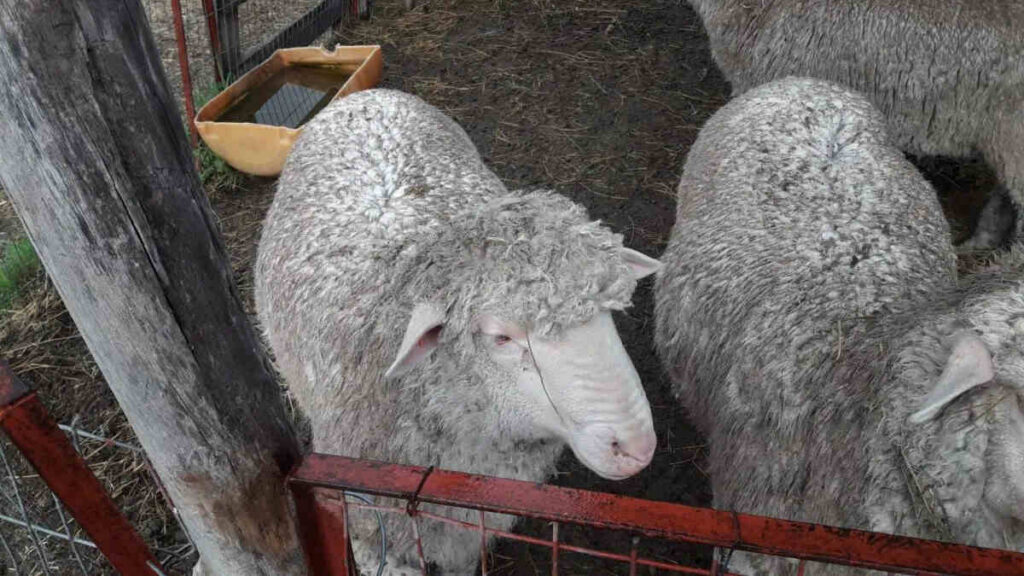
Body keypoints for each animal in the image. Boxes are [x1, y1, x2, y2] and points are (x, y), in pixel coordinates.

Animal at [254, 89, 661, 575]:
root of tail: (366, 95)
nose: (636, 447)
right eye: (502, 337)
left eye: (608, 311)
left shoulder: (467, 528)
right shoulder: (374, 526)